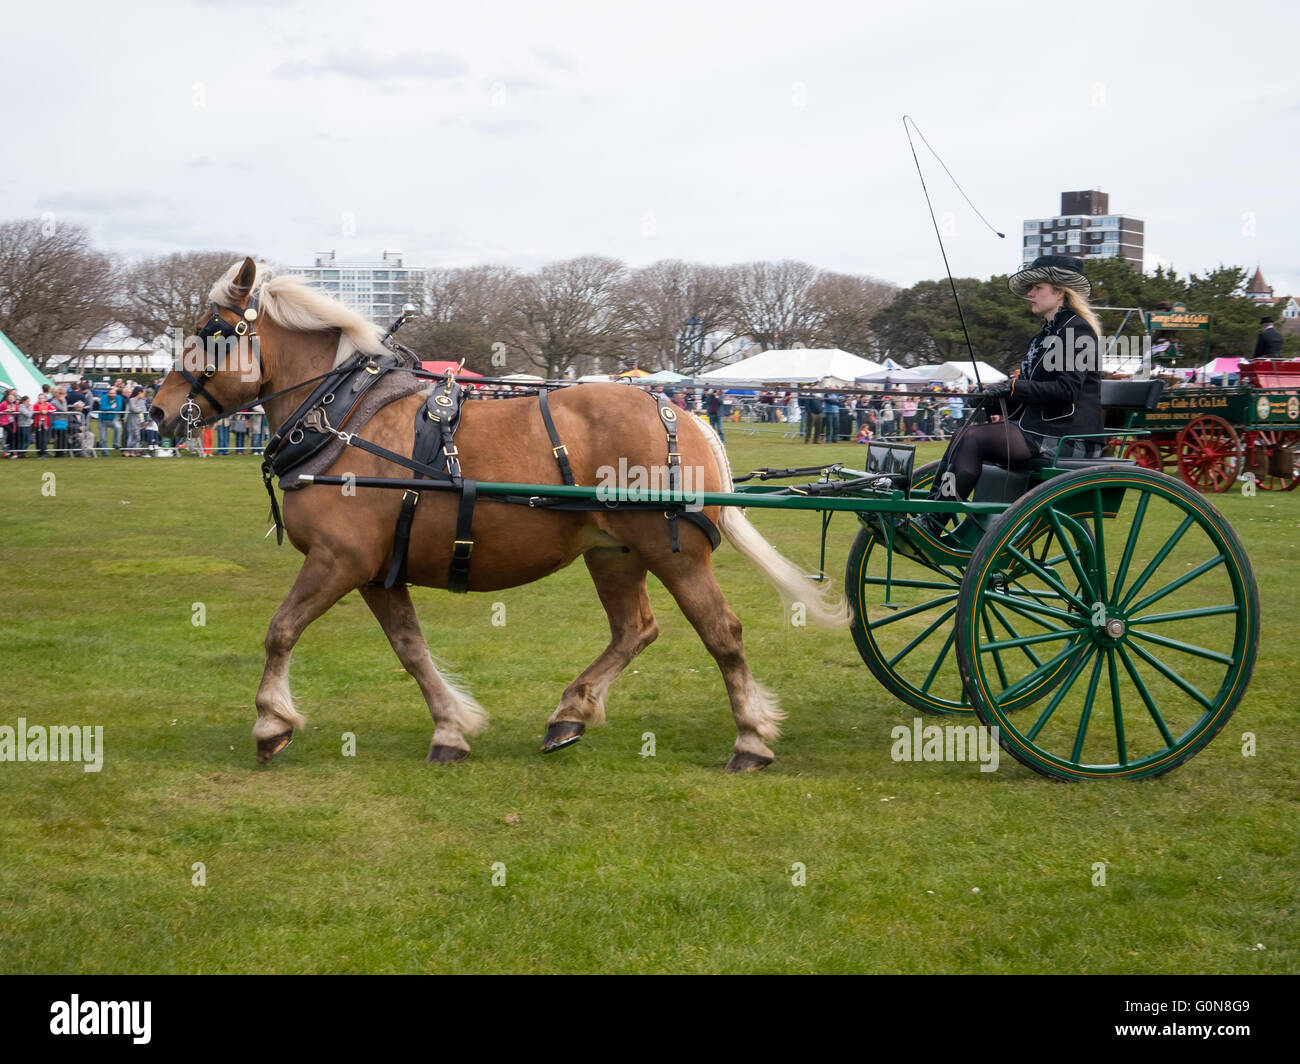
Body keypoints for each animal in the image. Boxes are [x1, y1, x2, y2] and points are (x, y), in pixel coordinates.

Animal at [150, 257, 849, 772]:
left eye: (211, 333)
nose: (156, 412)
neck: (341, 417)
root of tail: (684, 412)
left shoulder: (337, 561)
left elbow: (281, 630)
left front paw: (271, 722)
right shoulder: (376, 571)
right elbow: (411, 650)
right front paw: (450, 728)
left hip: (672, 550)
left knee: (721, 632)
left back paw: (750, 738)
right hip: (614, 552)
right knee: (635, 630)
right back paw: (570, 713)